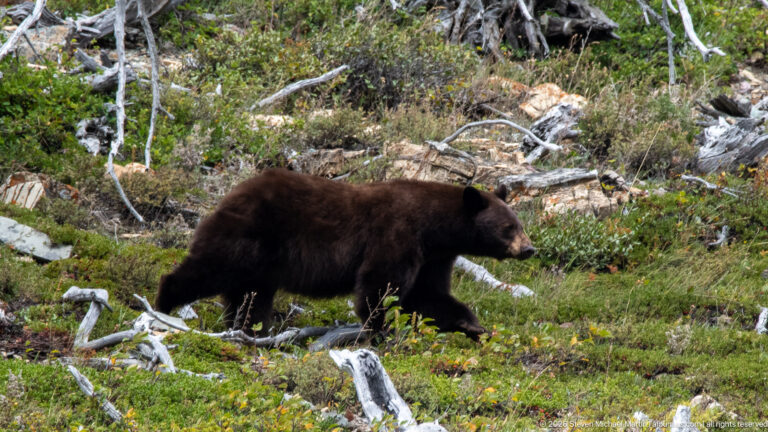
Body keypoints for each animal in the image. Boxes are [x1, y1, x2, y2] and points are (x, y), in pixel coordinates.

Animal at [155, 168, 534, 340]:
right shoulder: (397, 233)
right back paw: (163, 304)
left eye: (519, 223)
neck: (434, 228)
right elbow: (381, 284)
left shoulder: (434, 257)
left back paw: (252, 329)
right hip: (248, 237)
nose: (529, 248)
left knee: (250, 296)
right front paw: (379, 329)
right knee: (208, 269)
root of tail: (230, 194)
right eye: (508, 228)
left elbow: (429, 294)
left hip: (261, 263)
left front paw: (472, 325)